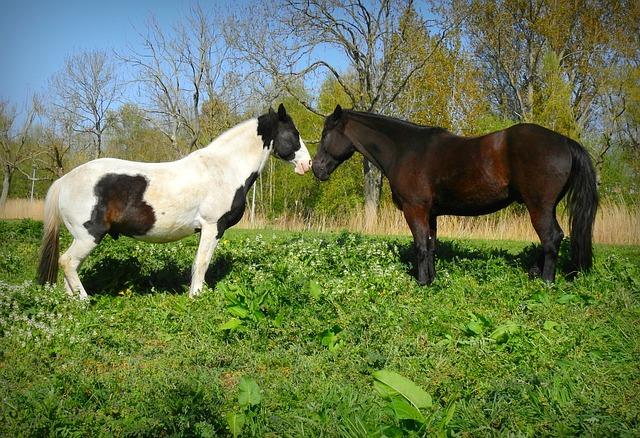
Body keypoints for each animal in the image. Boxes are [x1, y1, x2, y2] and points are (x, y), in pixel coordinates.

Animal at [37, 104, 312, 300]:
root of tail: (65, 180)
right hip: (88, 235)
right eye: (294, 134)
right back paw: (84, 301)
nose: (307, 164)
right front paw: (196, 296)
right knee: (67, 262)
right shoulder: (212, 226)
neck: (224, 168)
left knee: (70, 268)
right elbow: (201, 263)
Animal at [312, 105, 596, 284]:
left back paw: (546, 282)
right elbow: (431, 245)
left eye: (326, 134)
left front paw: (422, 283)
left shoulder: (414, 209)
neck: (405, 150)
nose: (316, 168)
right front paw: (432, 279)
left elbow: (420, 246)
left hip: (539, 206)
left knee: (551, 238)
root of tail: (564, 141)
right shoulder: (431, 213)